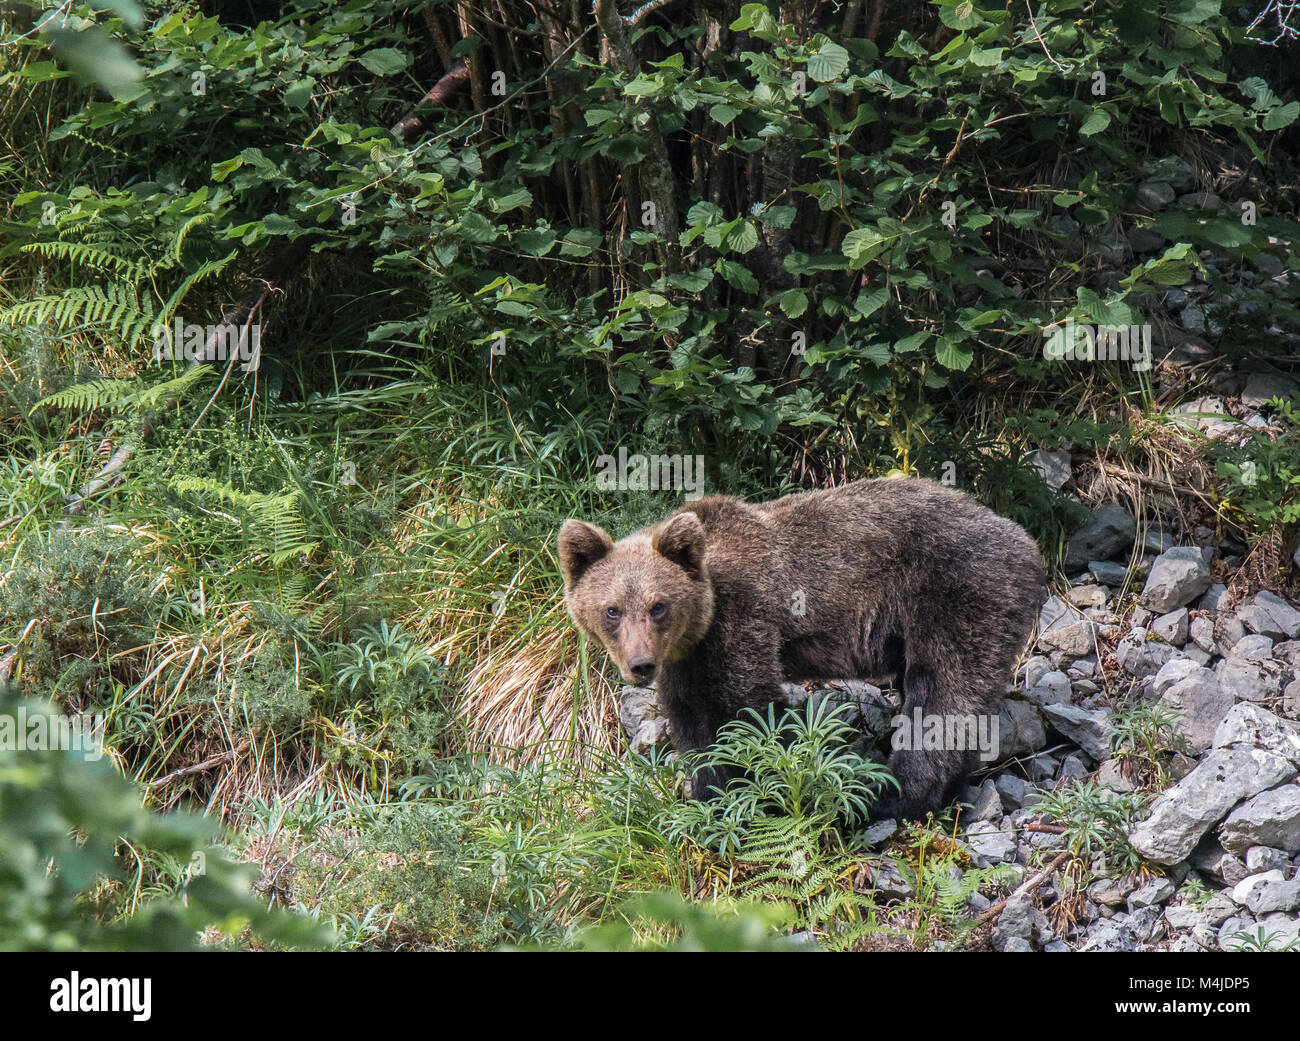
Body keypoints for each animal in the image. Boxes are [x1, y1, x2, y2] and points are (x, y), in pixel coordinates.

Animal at [559, 478, 1045, 821]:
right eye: (612, 610)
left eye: (658, 605)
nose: (640, 665)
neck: (702, 624)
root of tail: (1026, 540)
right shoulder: (686, 661)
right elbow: (694, 724)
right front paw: (708, 798)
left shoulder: (744, 618)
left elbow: (751, 709)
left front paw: (763, 794)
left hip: (957, 592)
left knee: (943, 693)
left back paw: (892, 796)